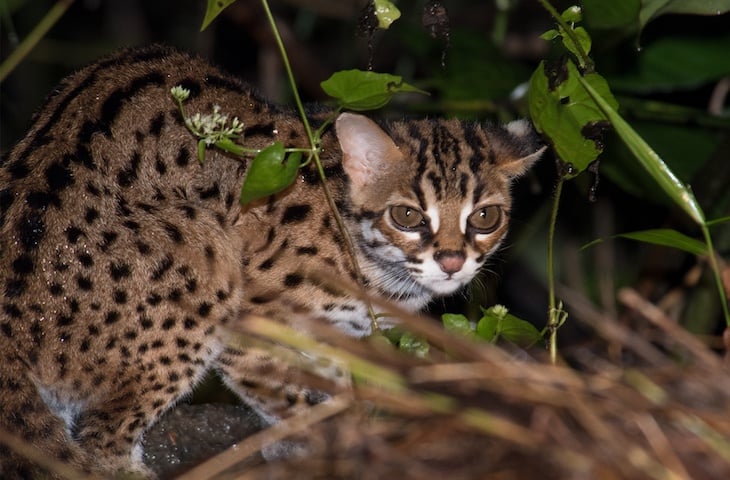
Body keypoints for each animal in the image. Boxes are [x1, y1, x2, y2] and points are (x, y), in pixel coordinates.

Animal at [0, 44, 544, 476]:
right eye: (407, 215)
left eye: (486, 217)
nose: (452, 261)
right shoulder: (251, 323)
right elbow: (283, 391)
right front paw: (317, 440)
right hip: (203, 253)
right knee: (100, 440)